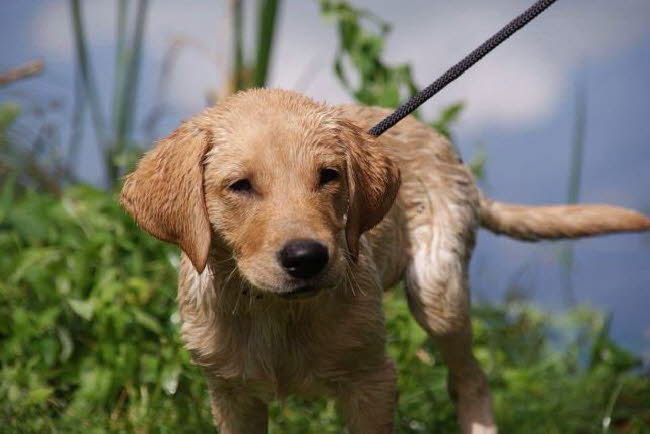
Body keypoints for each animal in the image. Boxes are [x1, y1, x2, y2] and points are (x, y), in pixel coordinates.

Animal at [119, 89, 644, 434]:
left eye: (328, 176)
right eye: (240, 186)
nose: (307, 258)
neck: (279, 313)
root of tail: (442, 144)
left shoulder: (372, 381)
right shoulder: (231, 395)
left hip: (439, 291)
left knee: (471, 377)